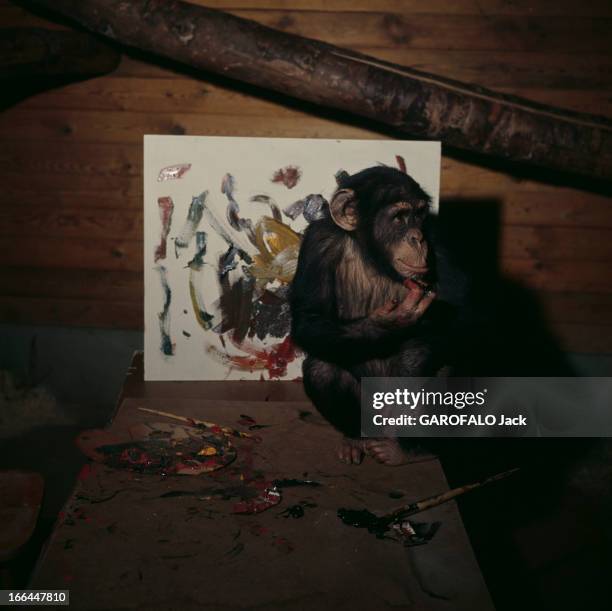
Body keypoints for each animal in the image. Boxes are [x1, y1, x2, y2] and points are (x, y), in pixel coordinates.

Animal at [290, 165, 460, 466]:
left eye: (419, 215)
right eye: (399, 218)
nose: (417, 237)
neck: (374, 257)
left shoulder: (440, 242)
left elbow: (464, 316)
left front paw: (409, 371)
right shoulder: (316, 243)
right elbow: (309, 317)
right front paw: (387, 325)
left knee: (443, 371)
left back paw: (407, 449)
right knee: (321, 368)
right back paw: (356, 439)